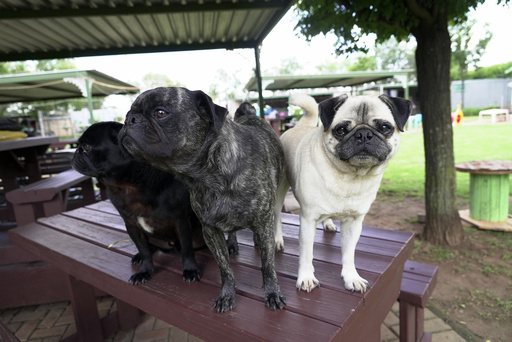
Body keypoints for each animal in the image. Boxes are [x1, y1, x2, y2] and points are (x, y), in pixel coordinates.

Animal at [70, 121, 206, 284]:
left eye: (87, 147)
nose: (75, 152)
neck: (127, 187)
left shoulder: (181, 222)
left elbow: (187, 249)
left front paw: (190, 269)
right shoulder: (132, 225)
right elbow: (144, 249)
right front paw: (144, 271)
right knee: (149, 246)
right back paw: (139, 256)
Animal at [119, 88, 288, 312]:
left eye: (161, 113)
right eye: (128, 113)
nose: (129, 119)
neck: (208, 176)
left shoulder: (262, 222)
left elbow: (267, 265)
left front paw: (272, 292)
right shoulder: (211, 231)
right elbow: (225, 269)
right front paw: (227, 293)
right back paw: (232, 244)